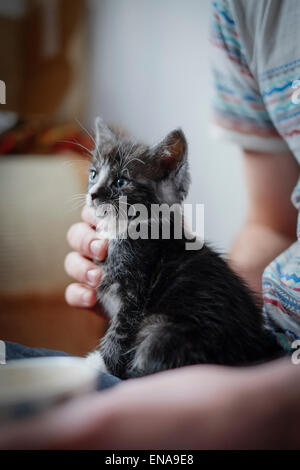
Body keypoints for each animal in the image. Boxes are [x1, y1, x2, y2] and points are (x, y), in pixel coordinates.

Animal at [85, 117, 284, 378]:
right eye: (93, 174)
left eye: (121, 182)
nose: (92, 194)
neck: (122, 229)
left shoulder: (135, 289)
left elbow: (120, 331)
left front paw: (102, 364)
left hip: (161, 329)